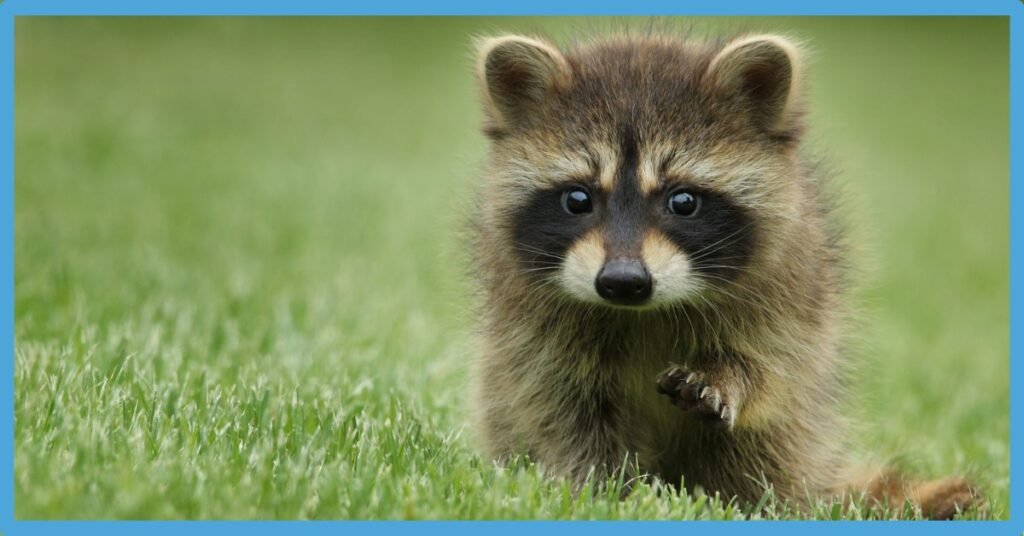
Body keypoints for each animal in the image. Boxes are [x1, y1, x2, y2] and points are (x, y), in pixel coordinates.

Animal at [467, 30, 979, 519]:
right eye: (578, 199)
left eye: (683, 201)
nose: (624, 281)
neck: (644, 312)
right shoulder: (531, 325)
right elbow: (560, 407)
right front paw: (603, 490)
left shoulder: (792, 285)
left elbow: (772, 366)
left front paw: (729, 377)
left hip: (800, 436)